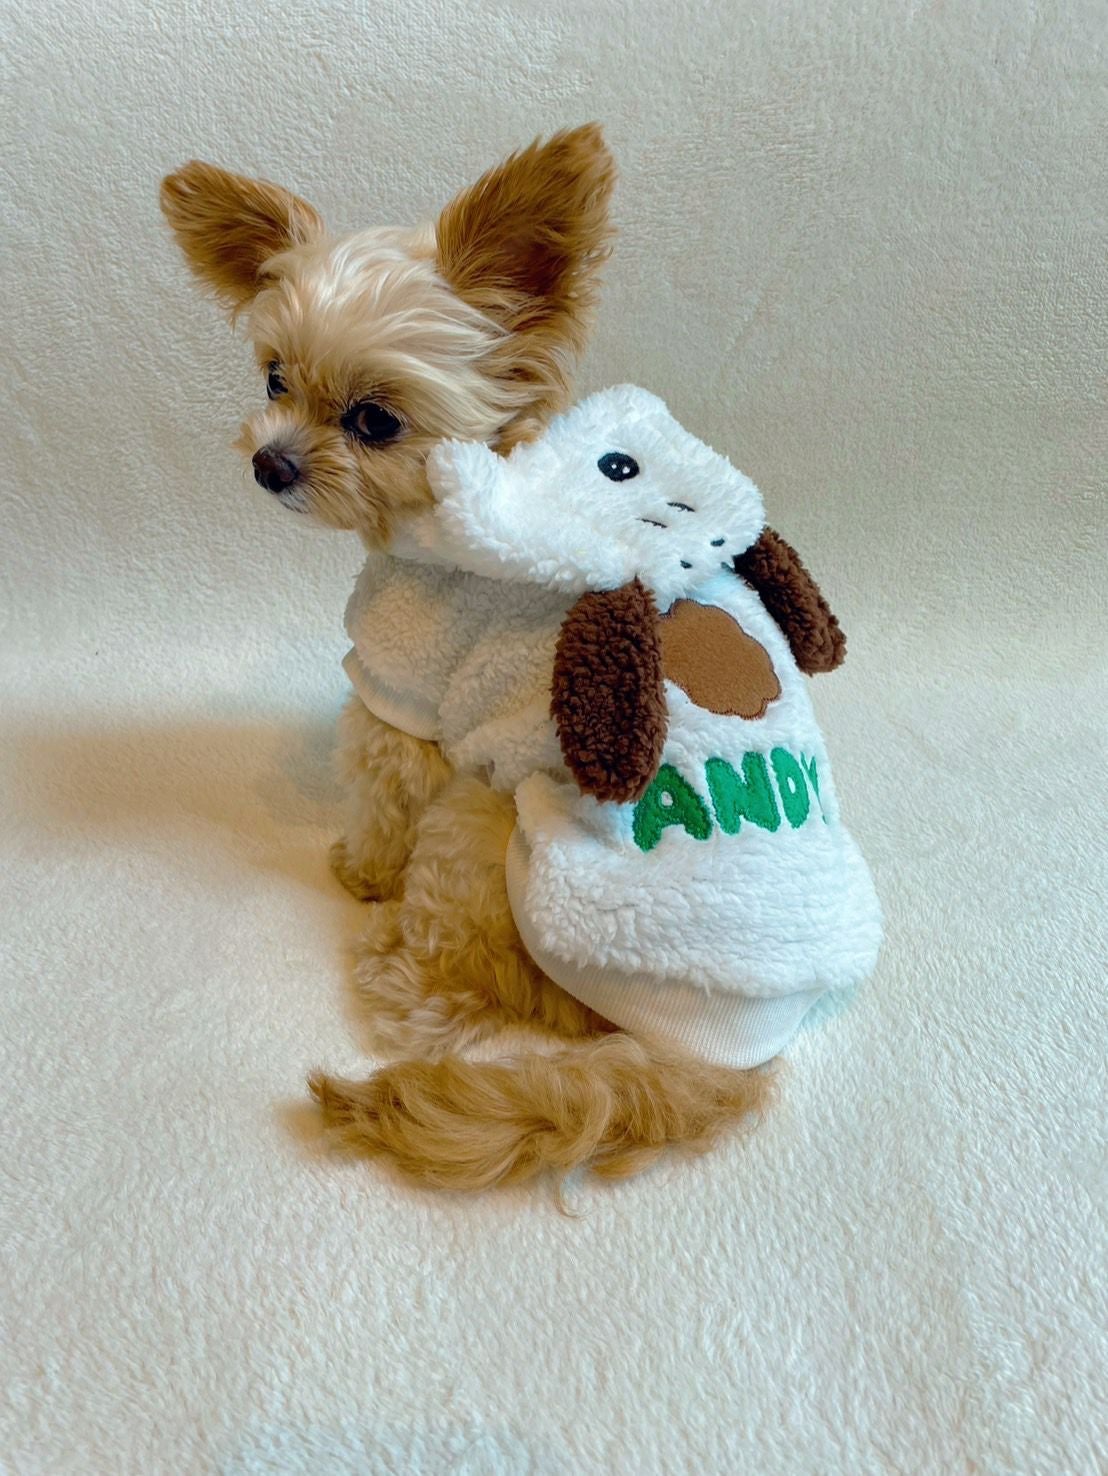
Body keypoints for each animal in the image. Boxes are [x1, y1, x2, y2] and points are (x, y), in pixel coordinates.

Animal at [160, 127, 817, 1189]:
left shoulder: (400, 692)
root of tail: (721, 1056)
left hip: (486, 834)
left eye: (375, 421)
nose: (270, 463)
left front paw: (359, 868)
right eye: (272, 379)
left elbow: (383, 787)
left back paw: (390, 958)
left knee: (446, 999)